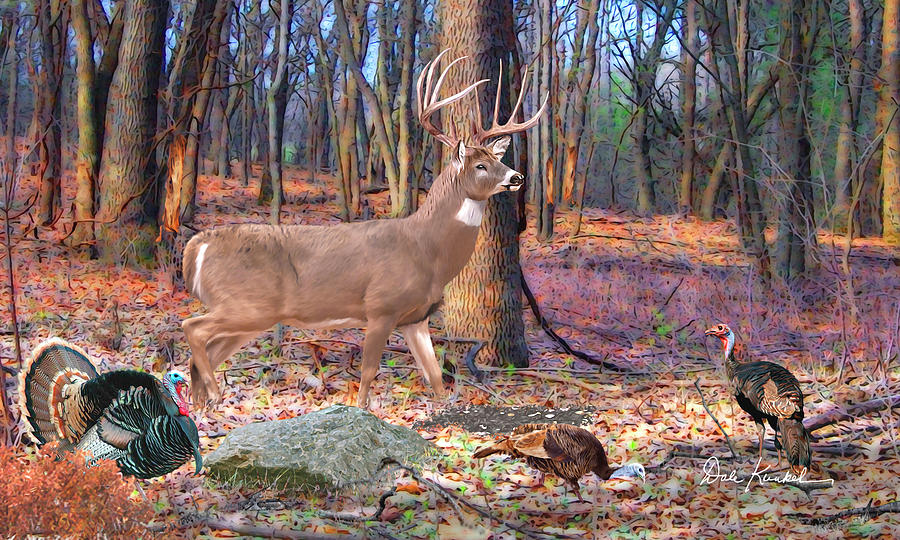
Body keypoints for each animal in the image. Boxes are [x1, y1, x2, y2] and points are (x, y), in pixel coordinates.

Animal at [181, 50, 546, 409]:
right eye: (480, 165)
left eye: (498, 159)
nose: (517, 177)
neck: (426, 250)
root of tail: (198, 244)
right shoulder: (381, 307)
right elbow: (368, 374)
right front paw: (361, 410)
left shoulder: (416, 319)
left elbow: (436, 378)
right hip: (246, 306)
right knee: (192, 328)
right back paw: (213, 393)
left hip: (250, 315)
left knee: (203, 354)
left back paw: (201, 406)